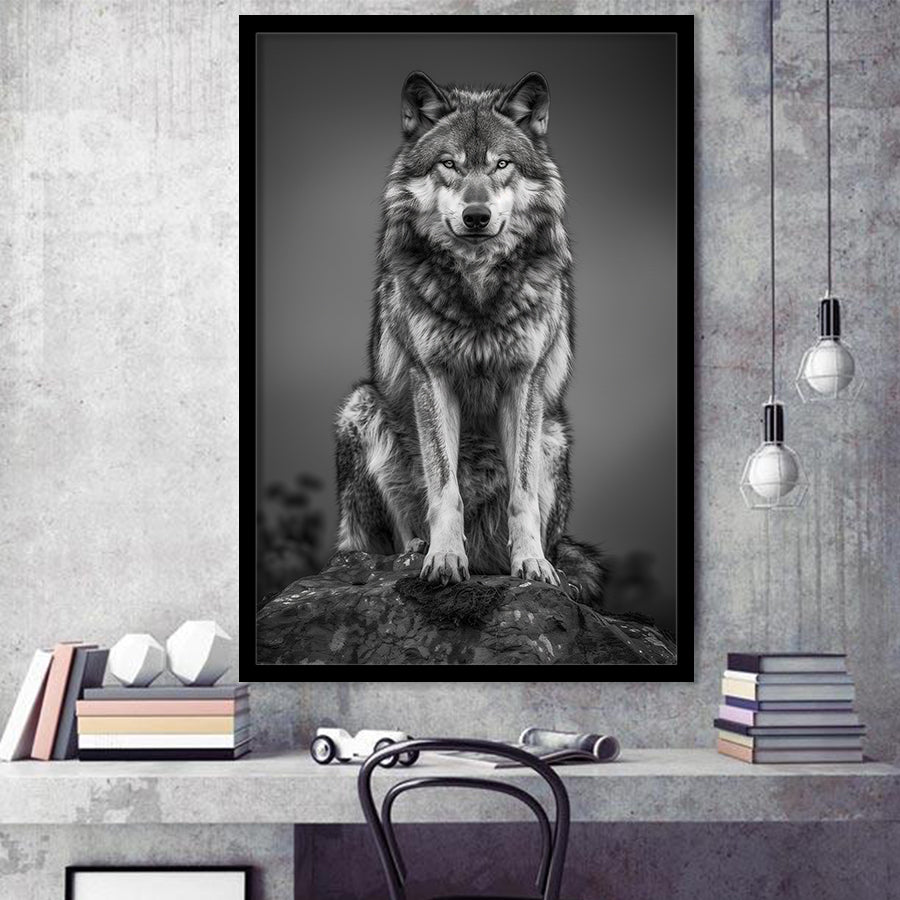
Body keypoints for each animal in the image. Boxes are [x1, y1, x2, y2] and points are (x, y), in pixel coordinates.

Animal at [334, 71, 605, 603]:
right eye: (449, 164)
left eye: (501, 164)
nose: (476, 216)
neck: (478, 285)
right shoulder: (432, 377)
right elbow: (445, 488)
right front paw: (443, 558)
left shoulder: (525, 382)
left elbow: (522, 495)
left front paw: (532, 565)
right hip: (361, 407)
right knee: (372, 543)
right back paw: (415, 551)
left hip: (554, 435)